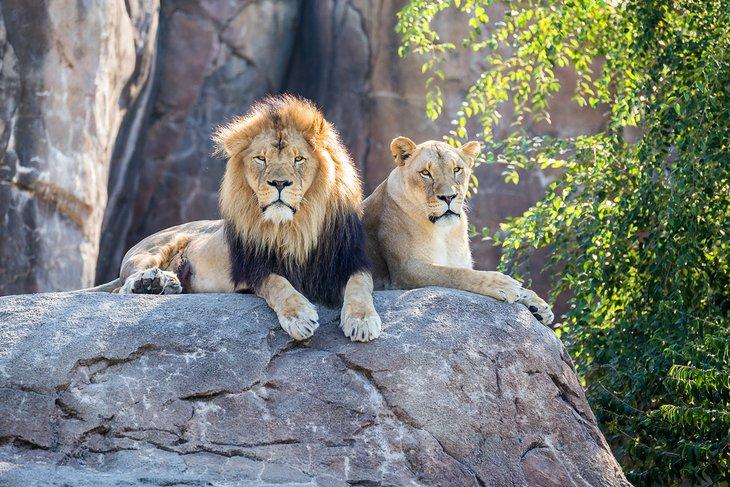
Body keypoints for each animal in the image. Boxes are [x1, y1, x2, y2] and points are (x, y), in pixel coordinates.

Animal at [89, 95, 382, 342]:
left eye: (298, 159)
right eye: (261, 159)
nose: (279, 183)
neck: (294, 227)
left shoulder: (350, 259)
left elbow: (360, 285)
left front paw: (362, 321)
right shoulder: (254, 270)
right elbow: (279, 285)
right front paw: (299, 316)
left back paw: (165, 284)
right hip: (152, 248)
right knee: (121, 286)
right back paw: (150, 283)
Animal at [361, 136, 554, 325]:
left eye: (456, 169)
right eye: (425, 173)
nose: (448, 197)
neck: (446, 232)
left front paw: (536, 303)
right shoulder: (405, 270)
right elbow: (455, 273)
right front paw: (503, 284)